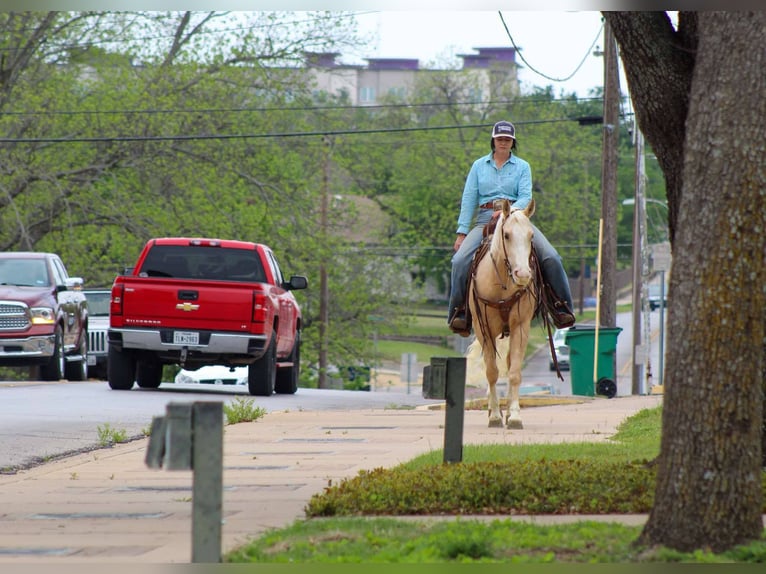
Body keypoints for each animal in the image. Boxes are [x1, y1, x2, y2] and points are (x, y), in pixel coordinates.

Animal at [466, 198, 538, 429]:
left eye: (531, 236)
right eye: (506, 235)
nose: (523, 274)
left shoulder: (521, 327)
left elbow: (514, 372)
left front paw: (514, 416)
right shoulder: (485, 331)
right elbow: (491, 372)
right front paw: (495, 416)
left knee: (508, 364)